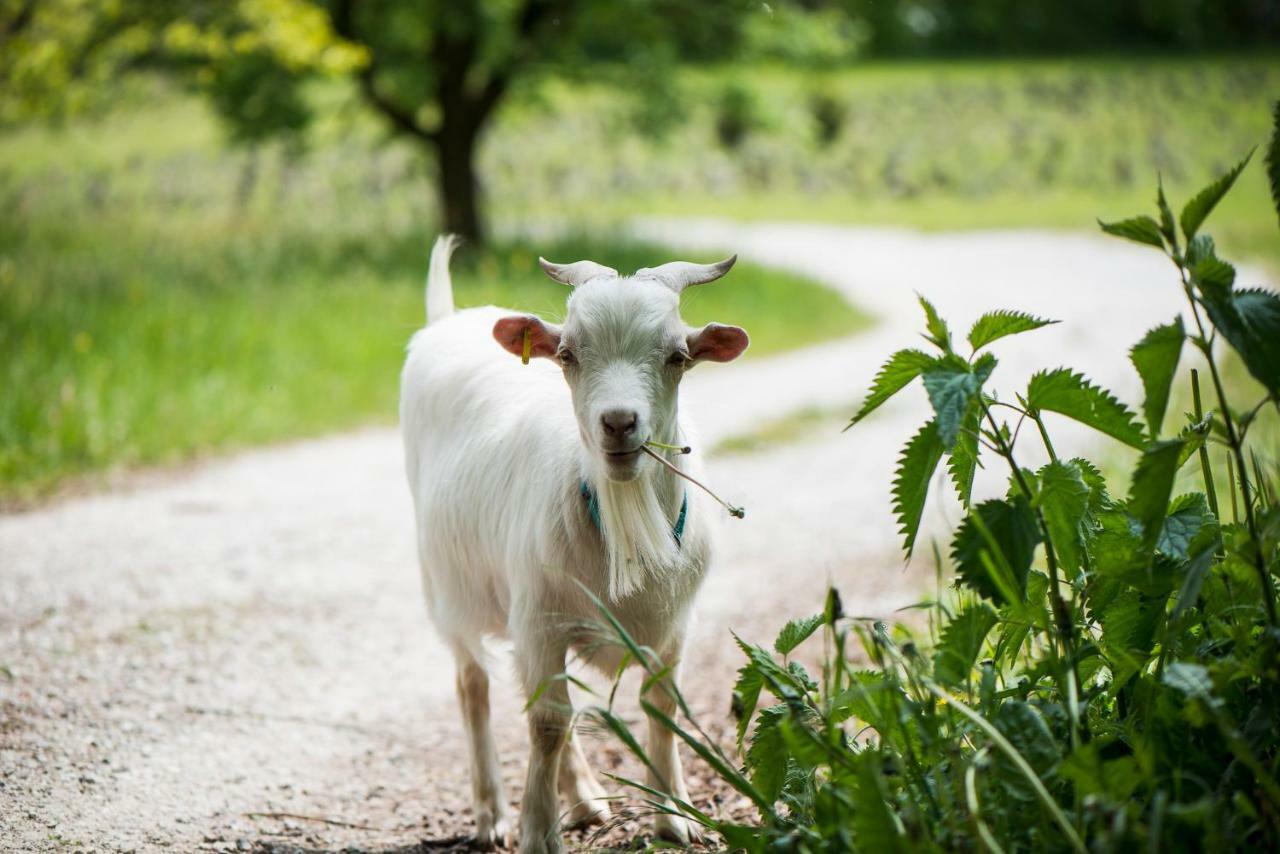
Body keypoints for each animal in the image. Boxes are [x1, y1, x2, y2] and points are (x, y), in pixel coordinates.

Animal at [394, 235, 747, 854]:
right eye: (568, 355)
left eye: (677, 356)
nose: (619, 422)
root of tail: (446, 320)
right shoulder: (541, 619)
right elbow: (547, 724)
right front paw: (538, 832)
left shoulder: (675, 623)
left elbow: (659, 706)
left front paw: (672, 816)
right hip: (445, 584)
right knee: (474, 686)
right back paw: (492, 814)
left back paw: (584, 800)